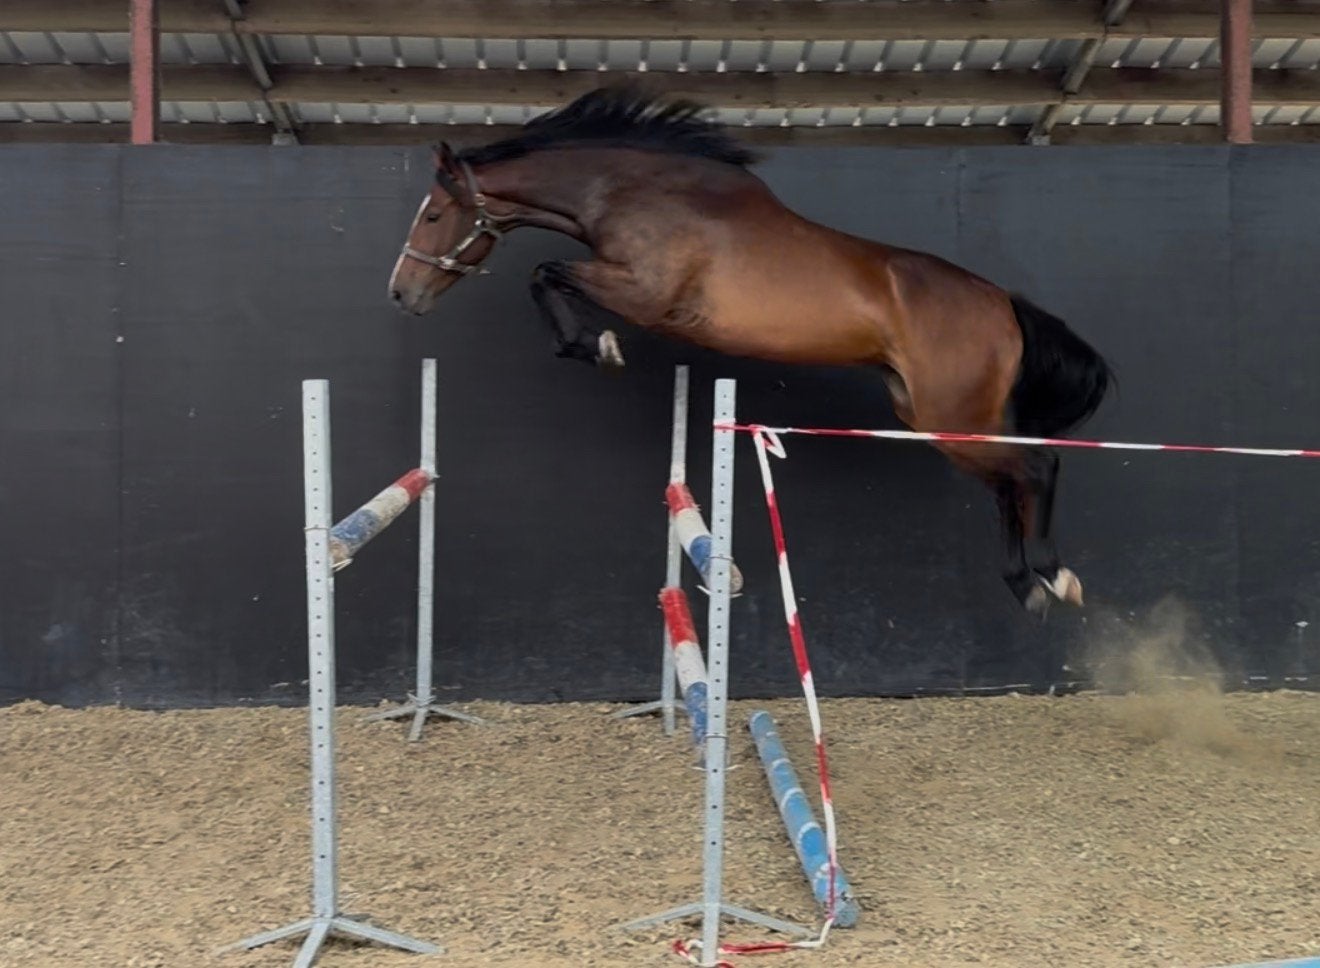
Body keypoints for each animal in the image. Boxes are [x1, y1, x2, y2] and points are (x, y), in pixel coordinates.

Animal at [387, 86, 1113, 618]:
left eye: (433, 216)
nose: (402, 293)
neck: (632, 192)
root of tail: (1003, 303)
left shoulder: (645, 294)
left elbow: (546, 273)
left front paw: (598, 346)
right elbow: (547, 275)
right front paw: (591, 345)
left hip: (952, 416)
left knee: (1037, 467)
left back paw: (1055, 576)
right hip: (931, 419)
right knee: (1009, 483)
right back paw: (1025, 586)